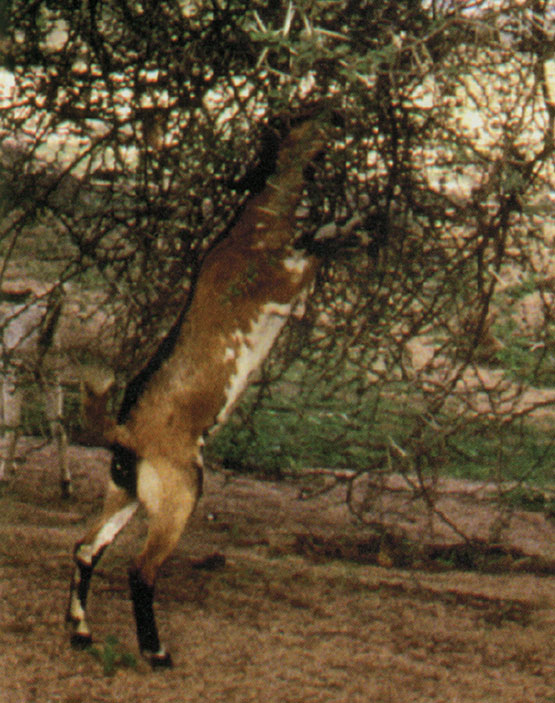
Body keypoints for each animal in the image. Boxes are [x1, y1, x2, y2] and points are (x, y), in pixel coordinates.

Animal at [68, 114, 332, 664]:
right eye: (303, 117)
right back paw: (155, 653)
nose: (338, 116)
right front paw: (365, 223)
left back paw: (81, 630)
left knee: (87, 548)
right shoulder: (289, 285)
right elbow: (322, 244)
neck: (252, 229)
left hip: (127, 495)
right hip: (180, 495)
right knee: (140, 569)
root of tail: (125, 433)